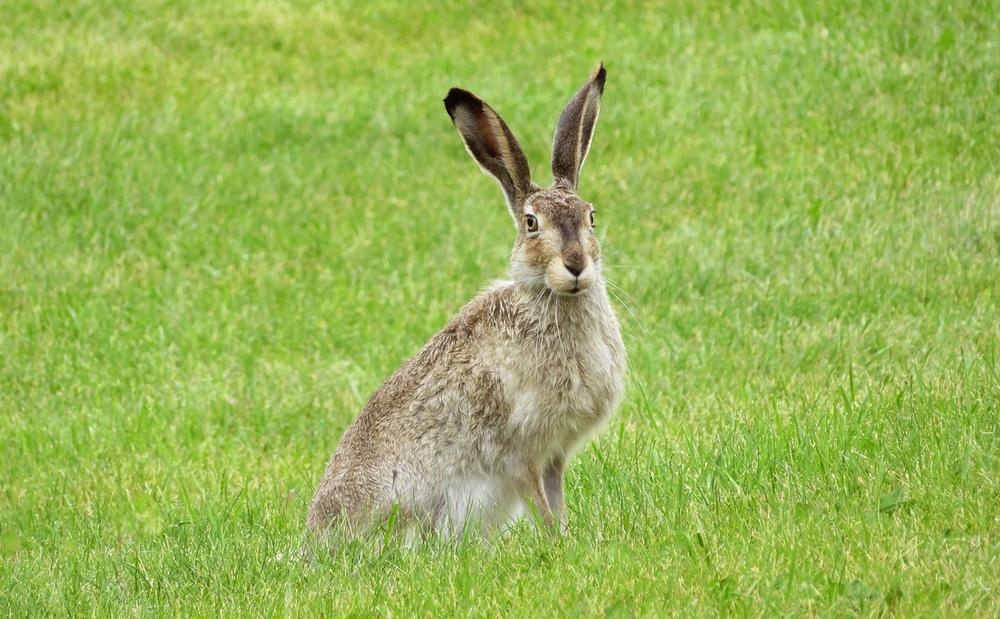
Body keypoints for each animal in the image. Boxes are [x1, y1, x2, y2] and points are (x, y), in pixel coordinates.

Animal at [308, 64, 624, 544]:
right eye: (531, 223)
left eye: (590, 216)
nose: (576, 265)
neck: (550, 300)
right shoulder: (518, 451)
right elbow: (538, 501)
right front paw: (556, 543)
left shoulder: (554, 454)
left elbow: (556, 499)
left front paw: (567, 539)